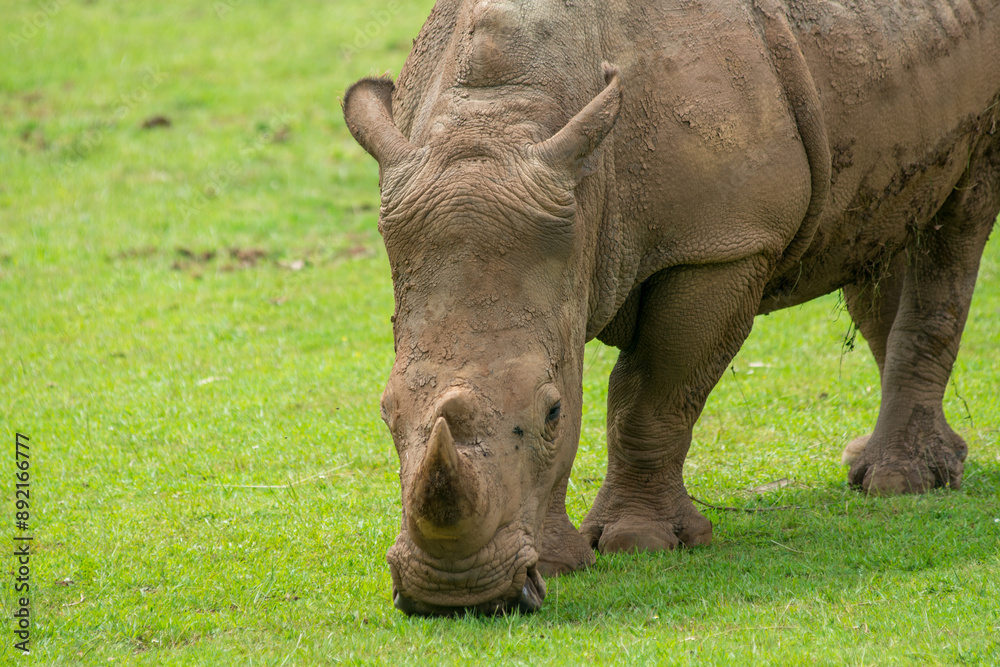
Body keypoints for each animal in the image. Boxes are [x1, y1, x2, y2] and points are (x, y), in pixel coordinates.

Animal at [342, 0, 1000, 615]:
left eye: (552, 413)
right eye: (385, 411)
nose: (456, 595)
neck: (498, 122)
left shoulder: (722, 245)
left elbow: (653, 397)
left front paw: (639, 543)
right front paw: (562, 565)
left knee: (959, 220)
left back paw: (899, 484)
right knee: (884, 229)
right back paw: (880, 466)